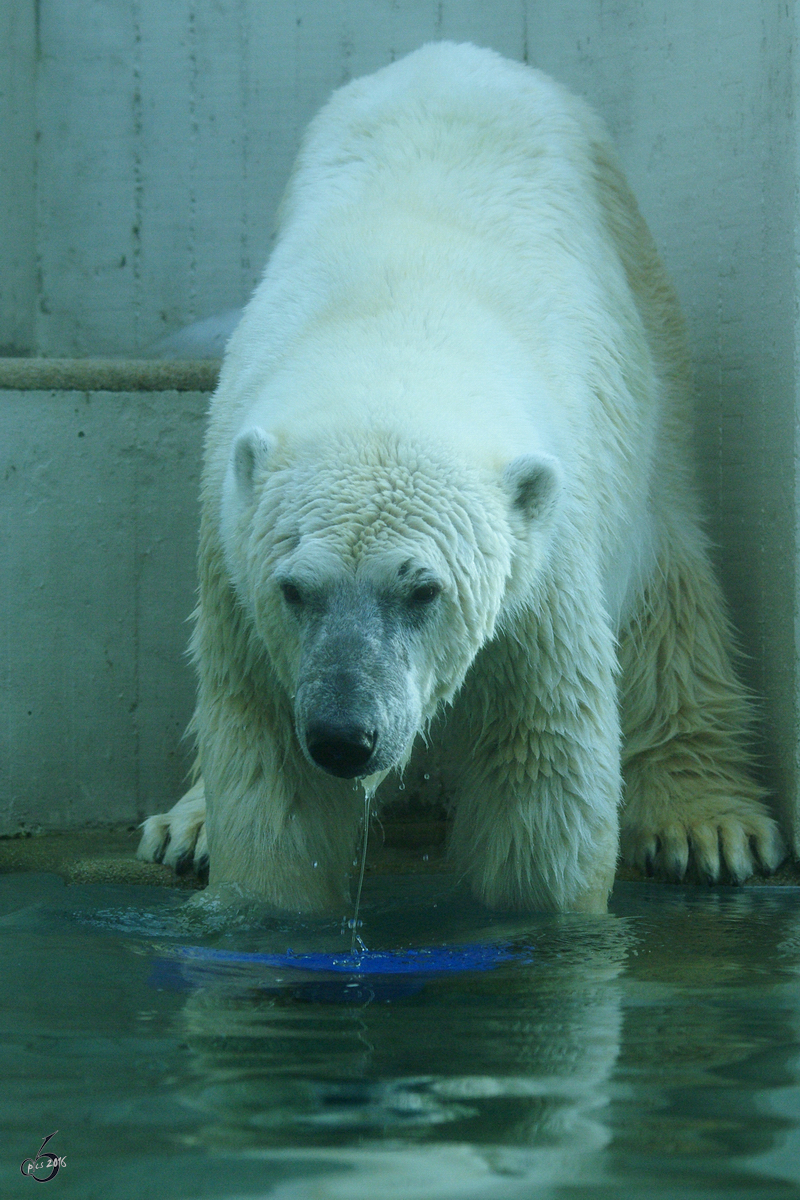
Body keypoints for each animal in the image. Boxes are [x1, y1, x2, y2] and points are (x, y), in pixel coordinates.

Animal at [137, 42, 782, 912]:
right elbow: (268, 769)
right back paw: (188, 824)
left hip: (653, 347)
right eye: (296, 588)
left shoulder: (542, 558)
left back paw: (705, 822)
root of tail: (453, 53)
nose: (346, 737)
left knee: (670, 590)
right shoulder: (236, 560)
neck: (391, 336)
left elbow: (540, 765)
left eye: (423, 590)